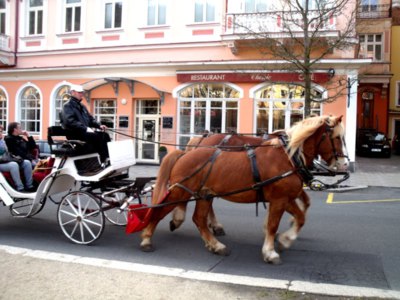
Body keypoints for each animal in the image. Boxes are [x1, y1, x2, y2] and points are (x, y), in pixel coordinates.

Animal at [141, 116, 346, 264]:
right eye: (336, 138)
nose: (344, 165)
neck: (289, 157)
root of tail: (184, 153)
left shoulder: (285, 198)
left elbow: (301, 216)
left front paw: (286, 238)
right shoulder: (279, 199)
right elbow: (274, 224)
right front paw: (270, 251)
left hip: (204, 195)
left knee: (199, 219)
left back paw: (216, 244)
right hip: (179, 191)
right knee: (160, 210)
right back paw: (147, 238)